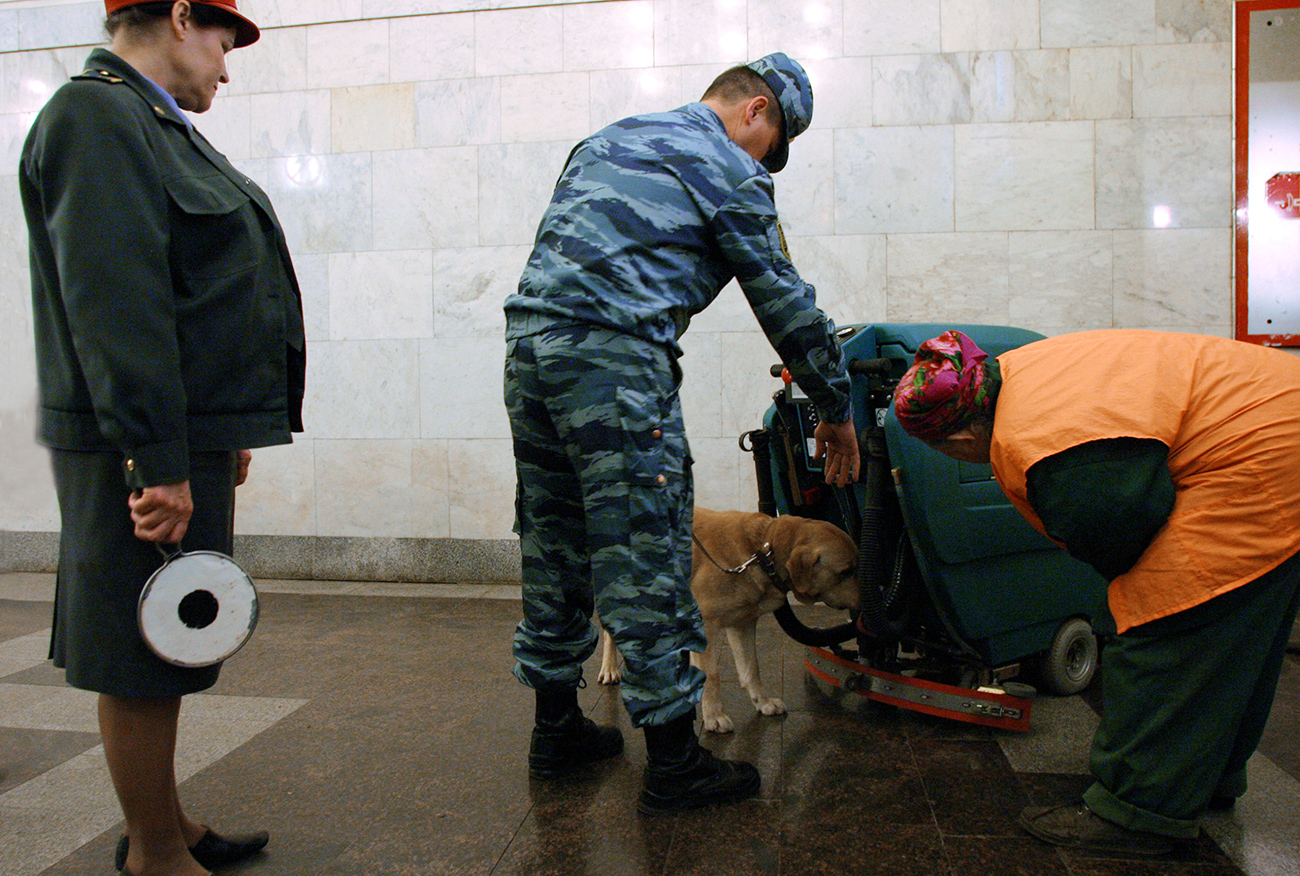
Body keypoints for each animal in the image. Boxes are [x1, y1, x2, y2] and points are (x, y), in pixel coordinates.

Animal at [600, 504, 863, 727]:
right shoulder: (707, 624)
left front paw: (762, 702)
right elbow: (712, 675)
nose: (866, 602)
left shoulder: (743, 624)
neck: (761, 551)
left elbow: (751, 669)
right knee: (609, 633)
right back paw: (611, 668)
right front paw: (714, 715)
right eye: (845, 571)